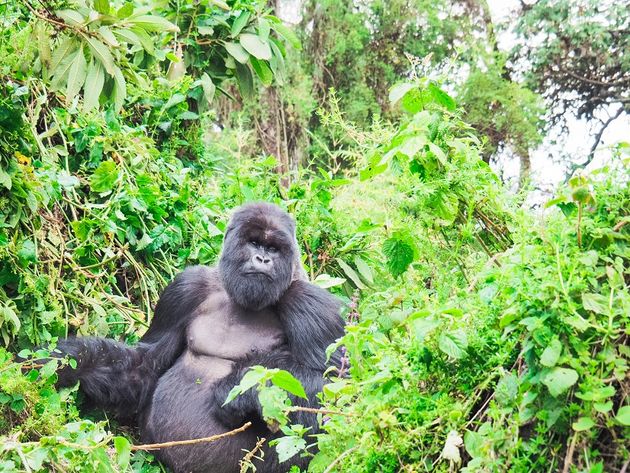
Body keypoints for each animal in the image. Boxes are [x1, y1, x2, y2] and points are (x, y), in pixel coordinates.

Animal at [49, 202, 346, 472]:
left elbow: (334, 387)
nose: (263, 260)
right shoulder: (186, 288)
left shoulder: (310, 305)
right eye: (254, 243)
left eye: (273, 249)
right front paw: (70, 362)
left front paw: (239, 387)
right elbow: (144, 365)